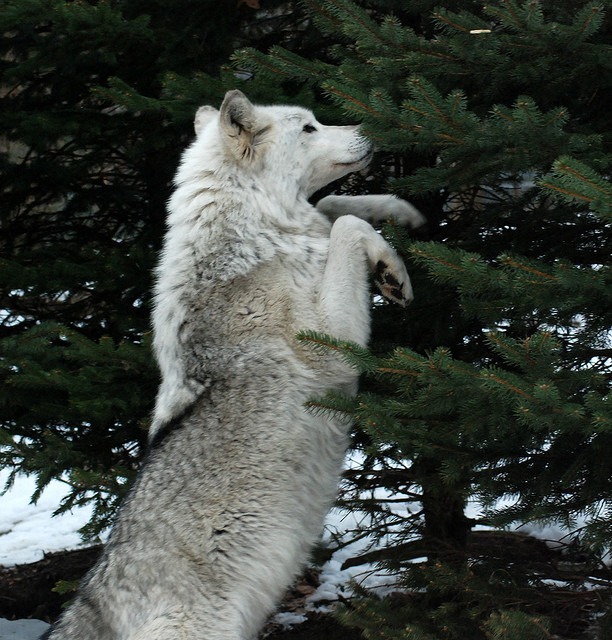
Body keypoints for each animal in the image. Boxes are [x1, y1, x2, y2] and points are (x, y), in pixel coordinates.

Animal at [46, 90, 422, 640]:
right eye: (309, 128)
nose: (371, 127)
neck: (254, 229)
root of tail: (88, 600)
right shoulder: (330, 343)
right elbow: (345, 228)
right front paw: (392, 270)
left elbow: (333, 208)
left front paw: (400, 215)